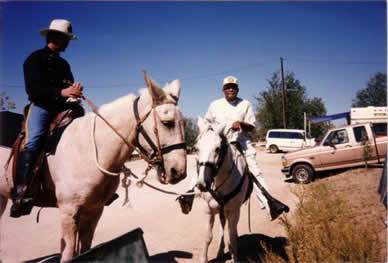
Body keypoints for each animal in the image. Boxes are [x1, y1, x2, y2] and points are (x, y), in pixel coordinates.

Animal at [0, 71, 188, 262]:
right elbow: (68, 254)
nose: (179, 172)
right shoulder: (68, 213)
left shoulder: (94, 210)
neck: (88, 150)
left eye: (183, 123)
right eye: (167, 122)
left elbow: (85, 248)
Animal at [197, 118, 252, 263]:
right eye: (197, 148)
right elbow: (208, 237)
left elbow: (232, 238)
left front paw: (235, 257)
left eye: (217, 149)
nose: (202, 184)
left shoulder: (233, 211)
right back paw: (220, 251)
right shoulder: (209, 211)